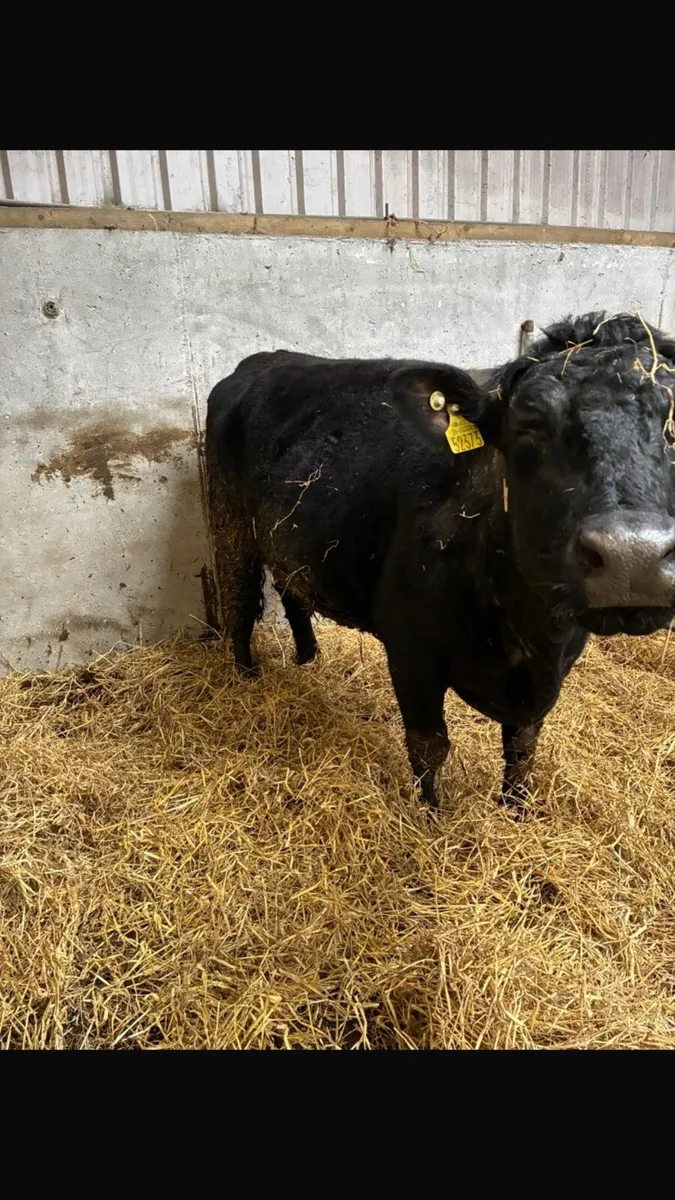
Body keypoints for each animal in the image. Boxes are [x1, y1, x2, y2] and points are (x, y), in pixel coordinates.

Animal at [205, 313, 675, 808]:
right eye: (529, 428)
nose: (632, 555)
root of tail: (260, 360)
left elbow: (523, 744)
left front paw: (517, 809)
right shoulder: (410, 651)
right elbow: (429, 745)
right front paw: (431, 813)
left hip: (287, 536)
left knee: (291, 589)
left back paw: (309, 658)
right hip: (230, 522)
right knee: (239, 603)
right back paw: (245, 678)